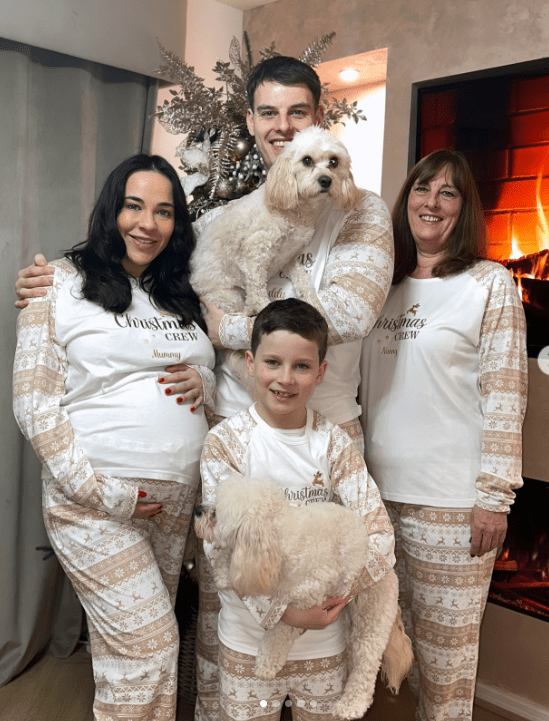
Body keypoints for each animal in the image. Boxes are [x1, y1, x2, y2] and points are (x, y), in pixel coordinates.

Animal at [188, 124, 360, 316]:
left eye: (334, 161)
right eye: (307, 160)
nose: (326, 180)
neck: (296, 211)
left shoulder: (289, 256)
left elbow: (303, 281)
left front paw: (314, 303)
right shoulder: (255, 251)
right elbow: (258, 292)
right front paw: (265, 310)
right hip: (227, 297)